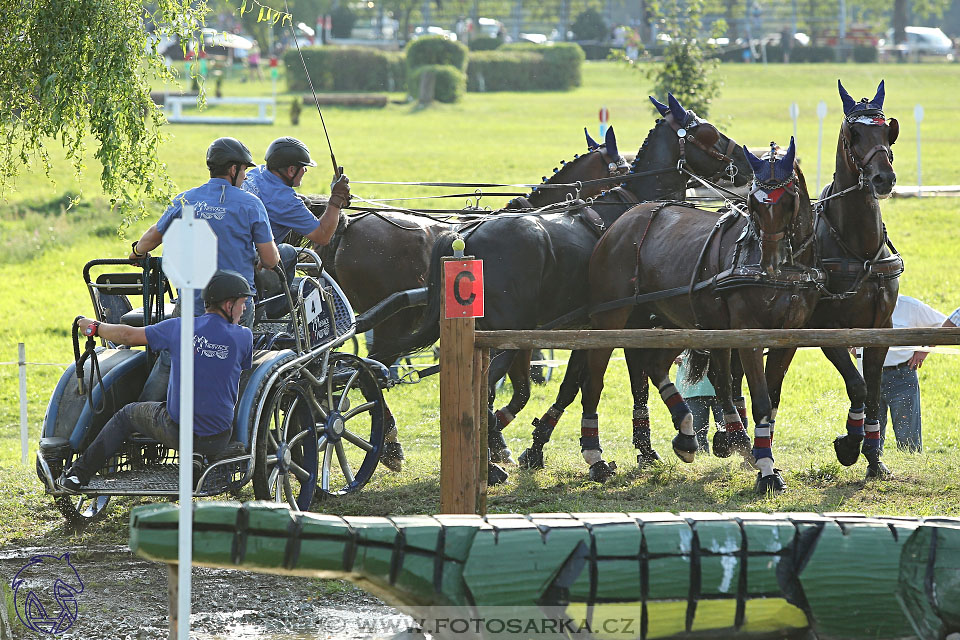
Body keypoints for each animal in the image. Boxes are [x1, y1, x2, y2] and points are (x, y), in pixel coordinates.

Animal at [302, 127, 632, 472]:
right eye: (623, 168)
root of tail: (347, 224)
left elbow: (520, 392)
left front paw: (499, 441)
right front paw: (497, 443)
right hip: (393, 324)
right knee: (368, 371)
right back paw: (387, 442)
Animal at [380, 90, 752, 480]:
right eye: (709, 133)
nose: (746, 162)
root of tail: (464, 236)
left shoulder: (585, 328)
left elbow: (569, 385)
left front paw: (538, 445)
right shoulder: (626, 323)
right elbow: (620, 385)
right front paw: (630, 450)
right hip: (506, 336)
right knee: (481, 388)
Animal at [576, 138, 816, 492]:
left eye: (788, 200)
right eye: (753, 204)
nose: (770, 263)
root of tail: (623, 220)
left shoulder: (788, 338)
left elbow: (769, 402)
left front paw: (759, 454)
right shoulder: (746, 335)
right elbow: (757, 399)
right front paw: (766, 470)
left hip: (672, 319)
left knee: (654, 366)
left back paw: (687, 434)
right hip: (611, 318)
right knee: (594, 379)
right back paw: (595, 455)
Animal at [736, 80, 900, 480]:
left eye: (886, 130)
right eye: (854, 134)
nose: (883, 178)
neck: (860, 249)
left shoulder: (881, 328)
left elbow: (874, 392)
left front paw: (874, 457)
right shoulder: (826, 330)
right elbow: (857, 386)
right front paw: (850, 444)